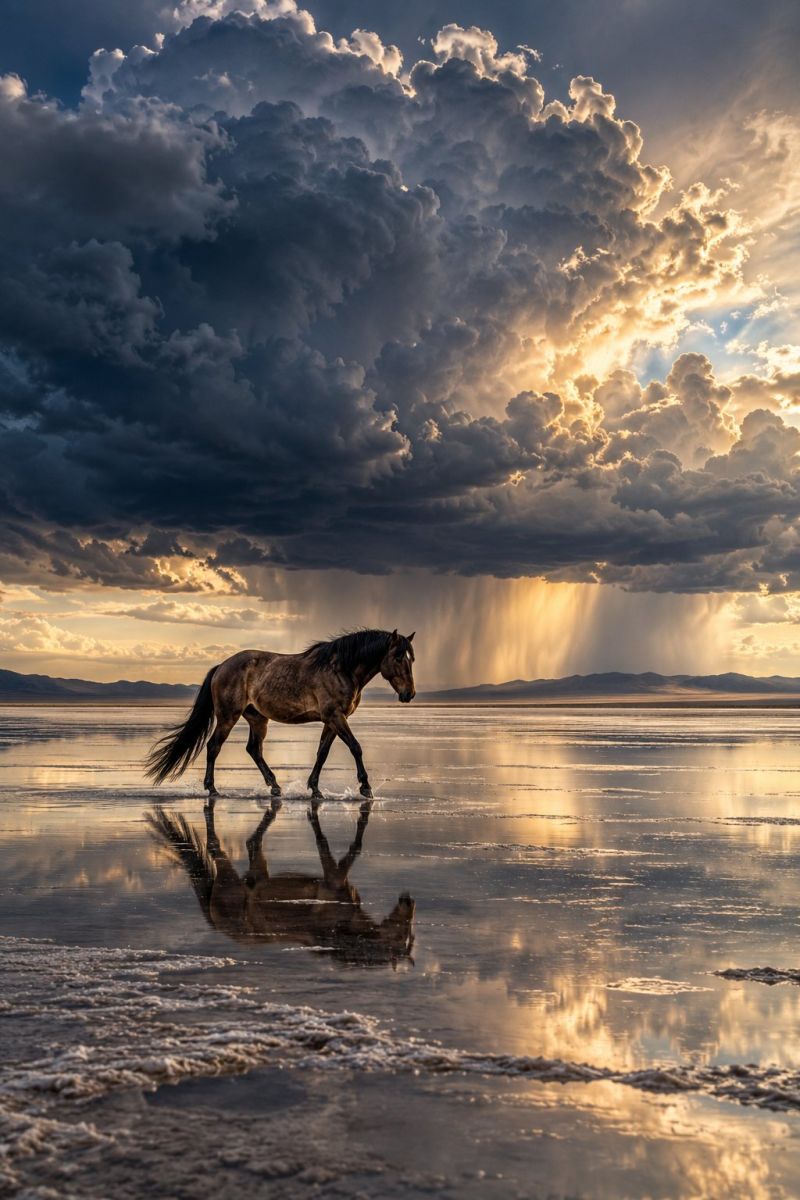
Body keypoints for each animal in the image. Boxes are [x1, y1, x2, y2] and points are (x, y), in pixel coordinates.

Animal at [144, 628, 416, 802]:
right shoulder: (336, 717)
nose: (409, 694)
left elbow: (322, 753)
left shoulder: (332, 720)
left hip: (257, 719)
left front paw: (315, 789)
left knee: (254, 749)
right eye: (398, 657)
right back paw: (212, 789)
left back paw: (275, 786)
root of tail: (221, 666)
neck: (341, 669)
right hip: (228, 716)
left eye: (411, 658)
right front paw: (365, 788)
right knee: (214, 746)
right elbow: (355, 747)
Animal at [146, 801, 416, 967]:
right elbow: (336, 849)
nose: (409, 901)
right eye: (403, 934)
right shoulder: (333, 879)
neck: (338, 929)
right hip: (227, 875)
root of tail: (216, 923)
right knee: (217, 849)